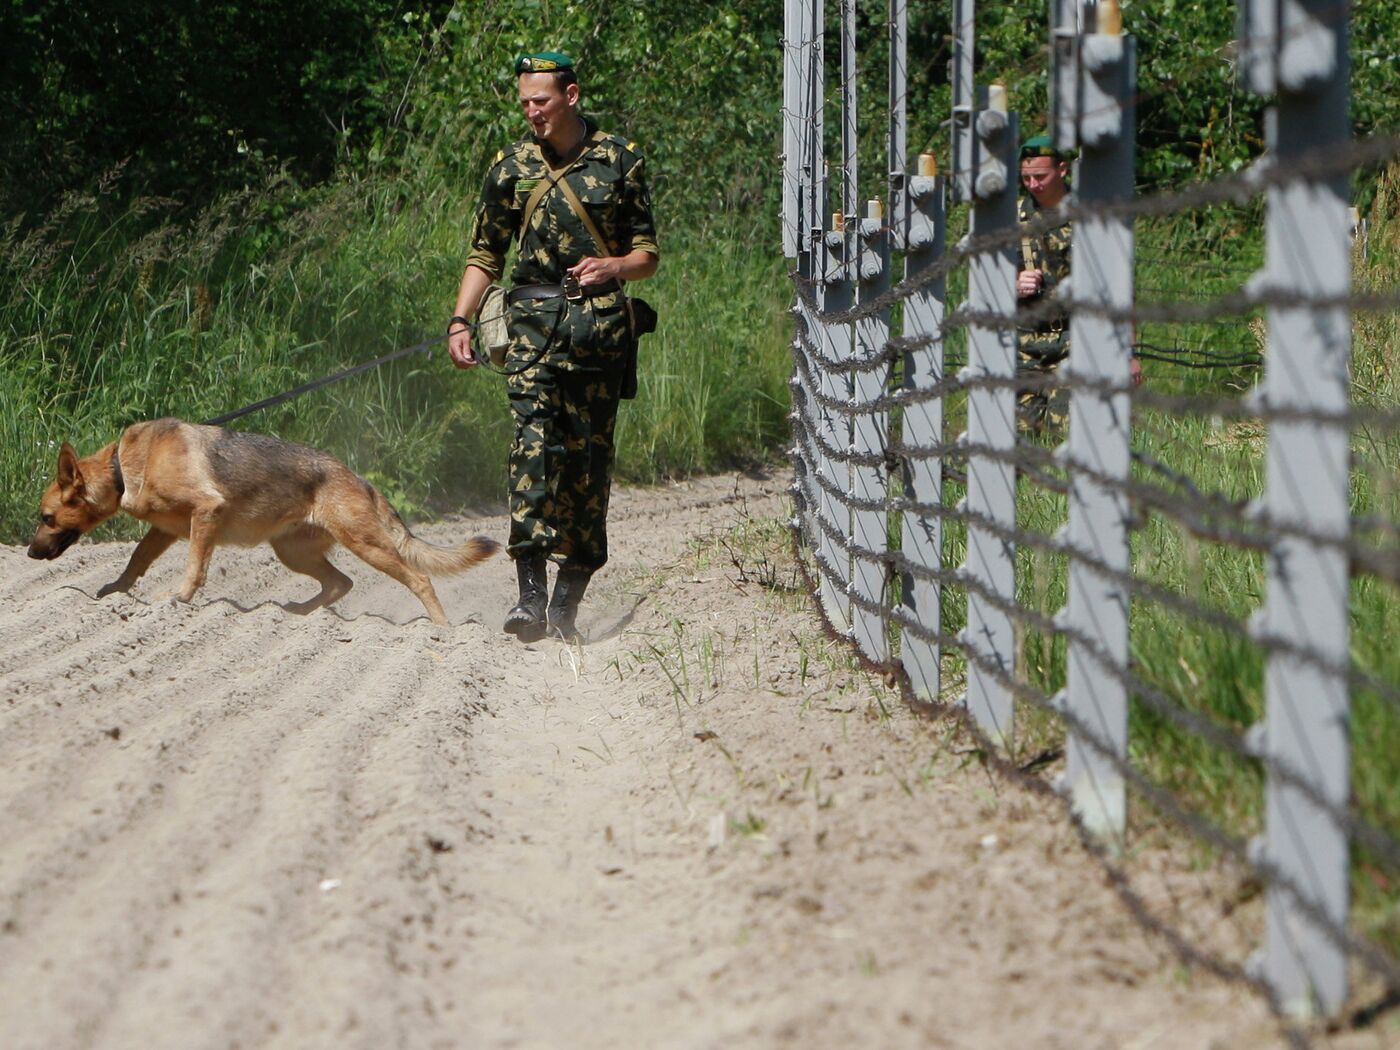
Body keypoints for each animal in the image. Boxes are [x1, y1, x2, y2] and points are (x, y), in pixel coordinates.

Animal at [27, 417, 501, 624]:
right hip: (292, 552)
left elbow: (195, 567)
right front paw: (114, 593)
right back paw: (296, 613)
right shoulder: (163, 531)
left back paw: (442, 631)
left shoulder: (206, 514)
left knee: (418, 579)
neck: (122, 468)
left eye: (46, 517)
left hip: (365, 544)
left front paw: (179, 598)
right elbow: (135, 562)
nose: (30, 553)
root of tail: (358, 478)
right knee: (340, 583)